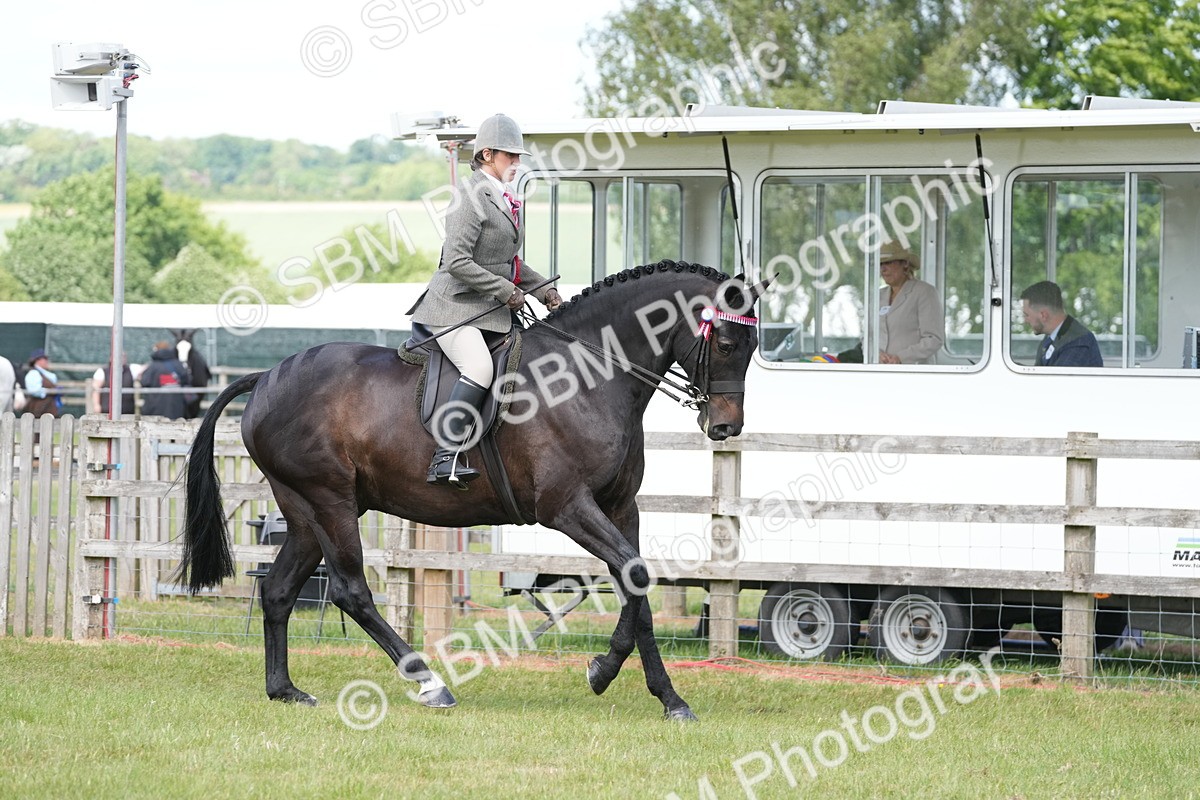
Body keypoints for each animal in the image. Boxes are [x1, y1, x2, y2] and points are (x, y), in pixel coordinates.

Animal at [178, 261, 767, 721]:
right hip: (331, 504)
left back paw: (285, 691)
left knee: (278, 590)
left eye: (755, 344)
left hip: (304, 513)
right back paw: (430, 684)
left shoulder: (621, 509)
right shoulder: (567, 508)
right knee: (351, 591)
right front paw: (623, 680)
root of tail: (265, 377)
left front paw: (645, 688)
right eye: (728, 342)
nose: (725, 427)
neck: (590, 373)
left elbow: (636, 583)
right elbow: (635, 576)